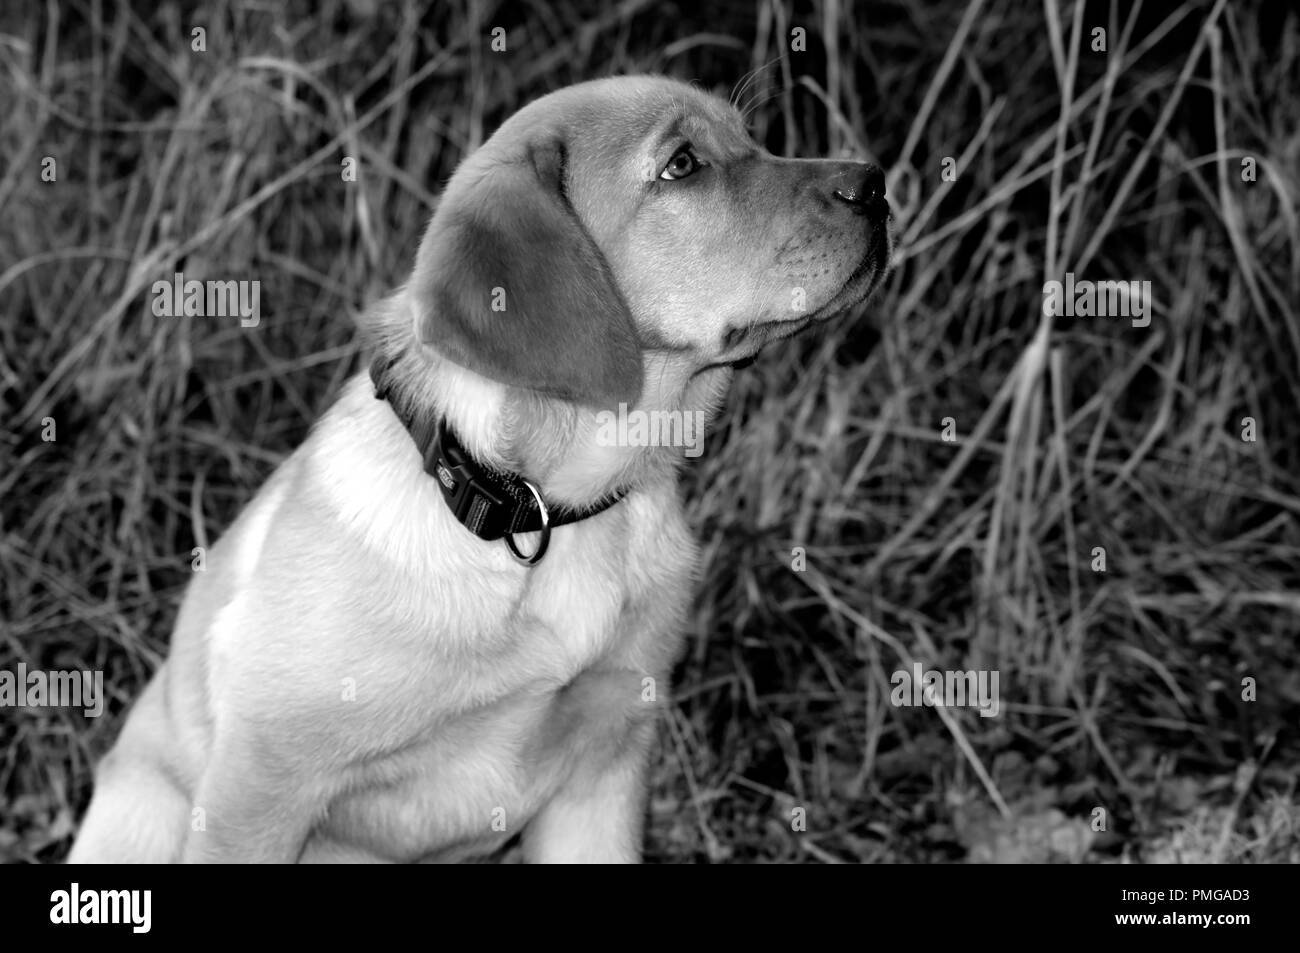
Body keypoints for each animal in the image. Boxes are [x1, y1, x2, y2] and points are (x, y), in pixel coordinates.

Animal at [68, 74, 883, 863]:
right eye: (682, 165)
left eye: (753, 138)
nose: (874, 182)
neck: (539, 509)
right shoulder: (260, 783)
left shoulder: (605, 774)